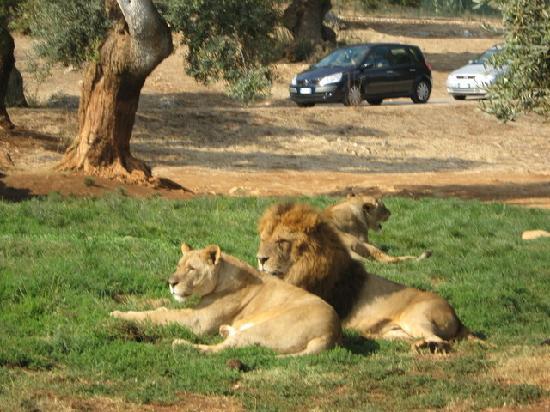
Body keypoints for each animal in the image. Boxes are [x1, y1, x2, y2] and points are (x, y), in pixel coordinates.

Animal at [111, 243, 340, 356]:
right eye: (178, 265)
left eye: (191, 268)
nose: (171, 283)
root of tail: (332, 333)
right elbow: (159, 307)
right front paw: (123, 301)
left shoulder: (197, 321)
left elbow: (157, 316)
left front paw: (118, 315)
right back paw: (224, 330)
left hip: (266, 328)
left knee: (223, 349)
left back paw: (182, 344)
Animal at [258, 204, 474, 352]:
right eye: (263, 239)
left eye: (281, 241)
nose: (260, 259)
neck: (303, 268)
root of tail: (457, 317)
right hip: (393, 333)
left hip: (417, 317)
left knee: (443, 341)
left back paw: (426, 346)